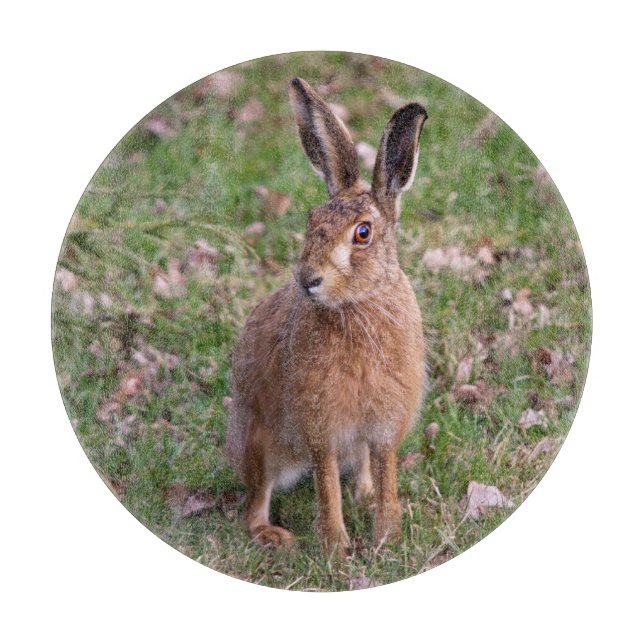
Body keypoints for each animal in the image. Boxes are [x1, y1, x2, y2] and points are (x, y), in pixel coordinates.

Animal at [226, 77, 428, 557]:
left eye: (363, 233)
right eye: (310, 219)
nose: (307, 279)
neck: (357, 306)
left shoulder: (384, 425)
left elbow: (385, 473)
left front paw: (386, 536)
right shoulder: (321, 427)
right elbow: (325, 483)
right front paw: (336, 548)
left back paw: (364, 495)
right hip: (260, 444)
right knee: (253, 506)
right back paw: (275, 535)